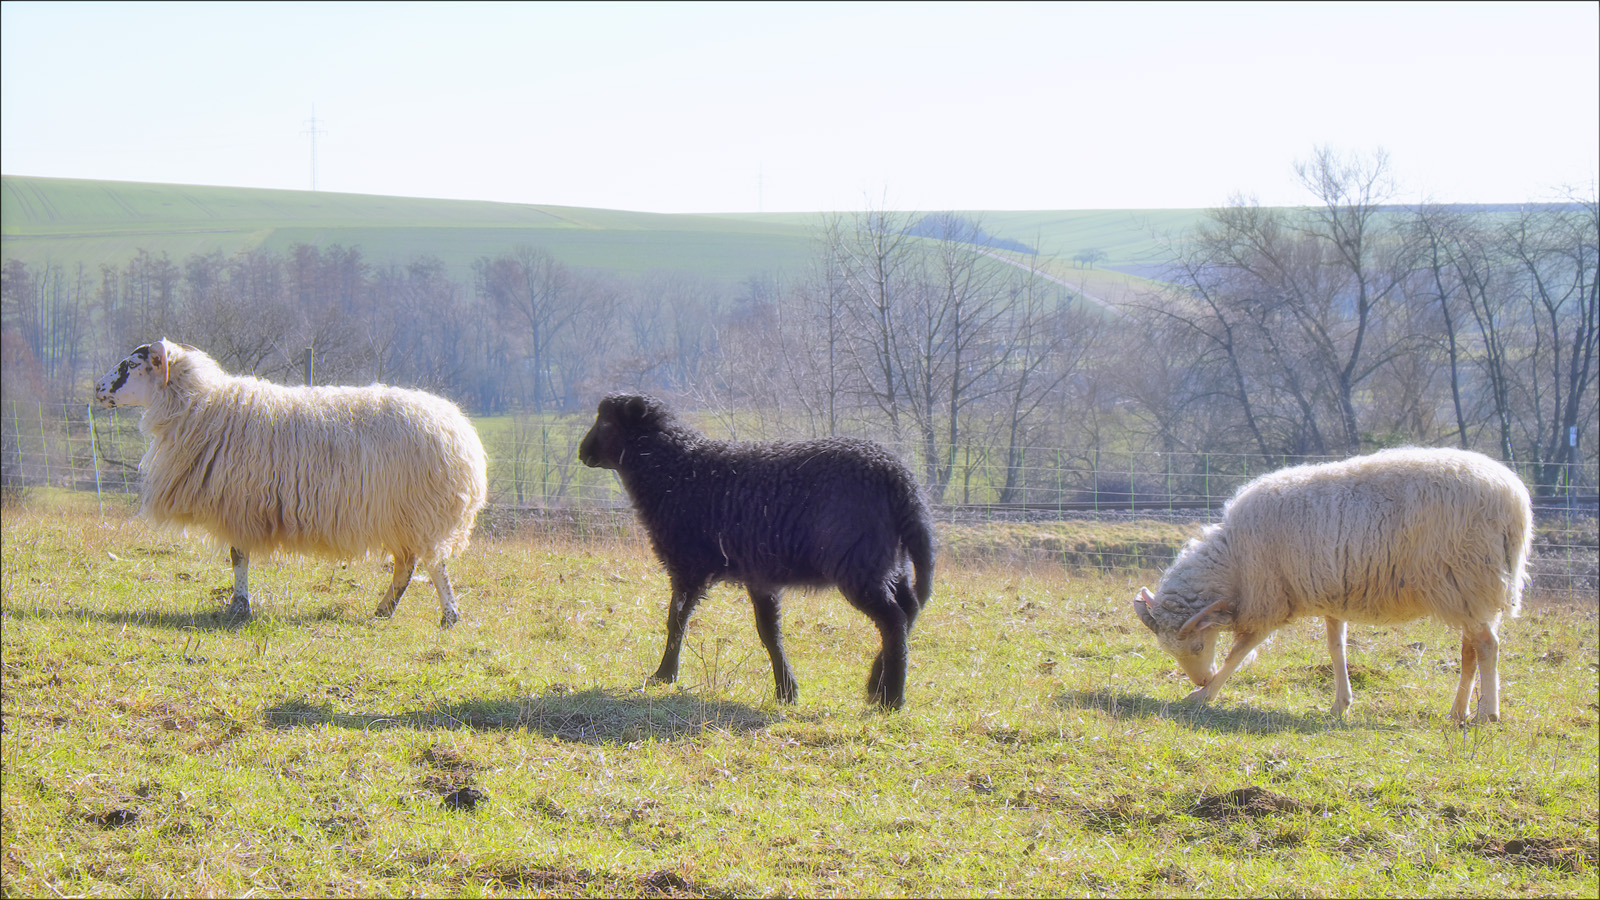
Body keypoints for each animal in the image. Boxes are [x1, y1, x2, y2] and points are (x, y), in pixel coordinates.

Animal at [96, 336, 486, 624]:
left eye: (131, 364)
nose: (97, 388)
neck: (201, 406)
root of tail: (461, 433)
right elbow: (239, 557)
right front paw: (239, 605)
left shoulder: (239, 504)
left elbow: (238, 556)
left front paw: (238, 607)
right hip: (404, 516)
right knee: (407, 565)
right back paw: (383, 611)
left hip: (423, 510)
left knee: (434, 564)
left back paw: (448, 616)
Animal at [579, 392, 934, 707]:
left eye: (606, 422)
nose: (582, 453)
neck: (676, 472)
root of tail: (901, 481)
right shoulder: (759, 575)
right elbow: (770, 632)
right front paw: (787, 691)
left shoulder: (687, 566)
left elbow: (676, 621)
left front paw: (664, 675)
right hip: (891, 562)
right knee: (910, 608)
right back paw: (877, 682)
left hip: (860, 563)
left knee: (894, 620)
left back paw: (891, 698)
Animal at [1132, 445, 1529, 717]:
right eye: (1169, 650)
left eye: (1198, 645)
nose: (1199, 679)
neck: (1235, 560)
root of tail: (1514, 499)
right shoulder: (1332, 595)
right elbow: (1336, 649)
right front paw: (1341, 703)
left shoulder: (1270, 601)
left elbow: (1238, 654)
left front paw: (1204, 695)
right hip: (1471, 590)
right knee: (1471, 649)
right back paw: (1458, 712)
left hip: (1467, 578)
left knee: (1488, 646)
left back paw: (1486, 714)